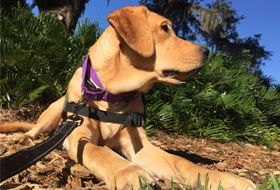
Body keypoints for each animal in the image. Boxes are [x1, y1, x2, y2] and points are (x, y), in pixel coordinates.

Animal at [0, 5, 255, 189]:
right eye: (165, 28)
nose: (207, 51)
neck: (112, 95)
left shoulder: (139, 146)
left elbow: (181, 161)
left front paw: (221, 178)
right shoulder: (79, 136)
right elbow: (98, 151)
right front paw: (128, 171)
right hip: (52, 114)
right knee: (35, 130)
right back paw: (23, 138)